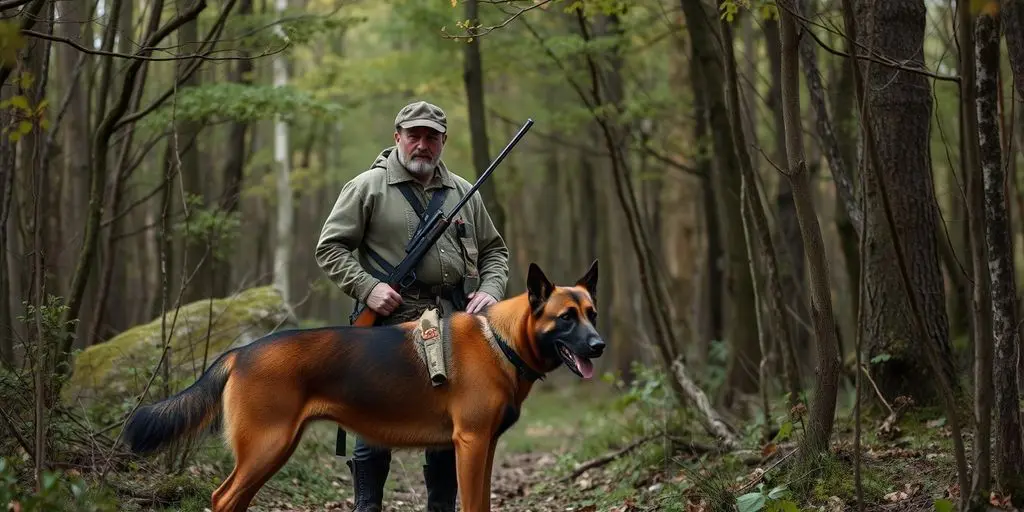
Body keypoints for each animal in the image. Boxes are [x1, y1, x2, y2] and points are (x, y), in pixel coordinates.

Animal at [120, 260, 602, 512]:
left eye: (592, 313)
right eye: (565, 318)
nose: (599, 346)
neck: (499, 339)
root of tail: (242, 351)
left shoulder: (484, 447)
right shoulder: (471, 443)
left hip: (272, 450)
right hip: (265, 447)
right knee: (222, 499)